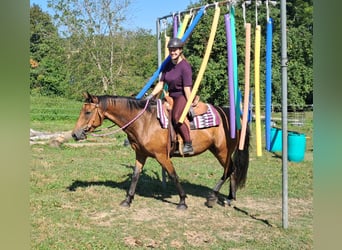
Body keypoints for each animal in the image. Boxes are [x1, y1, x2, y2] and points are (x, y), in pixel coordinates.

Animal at [72, 92, 250, 209]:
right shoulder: (140, 154)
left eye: (87, 112)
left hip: (222, 151)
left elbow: (173, 175)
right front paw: (128, 200)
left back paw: (213, 197)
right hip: (218, 151)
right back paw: (229, 198)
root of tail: (232, 115)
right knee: (232, 170)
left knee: (229, 170)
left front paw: (182, 201)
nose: (75, 134)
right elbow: (135, 176)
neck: (144, 122)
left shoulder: (162, 156)